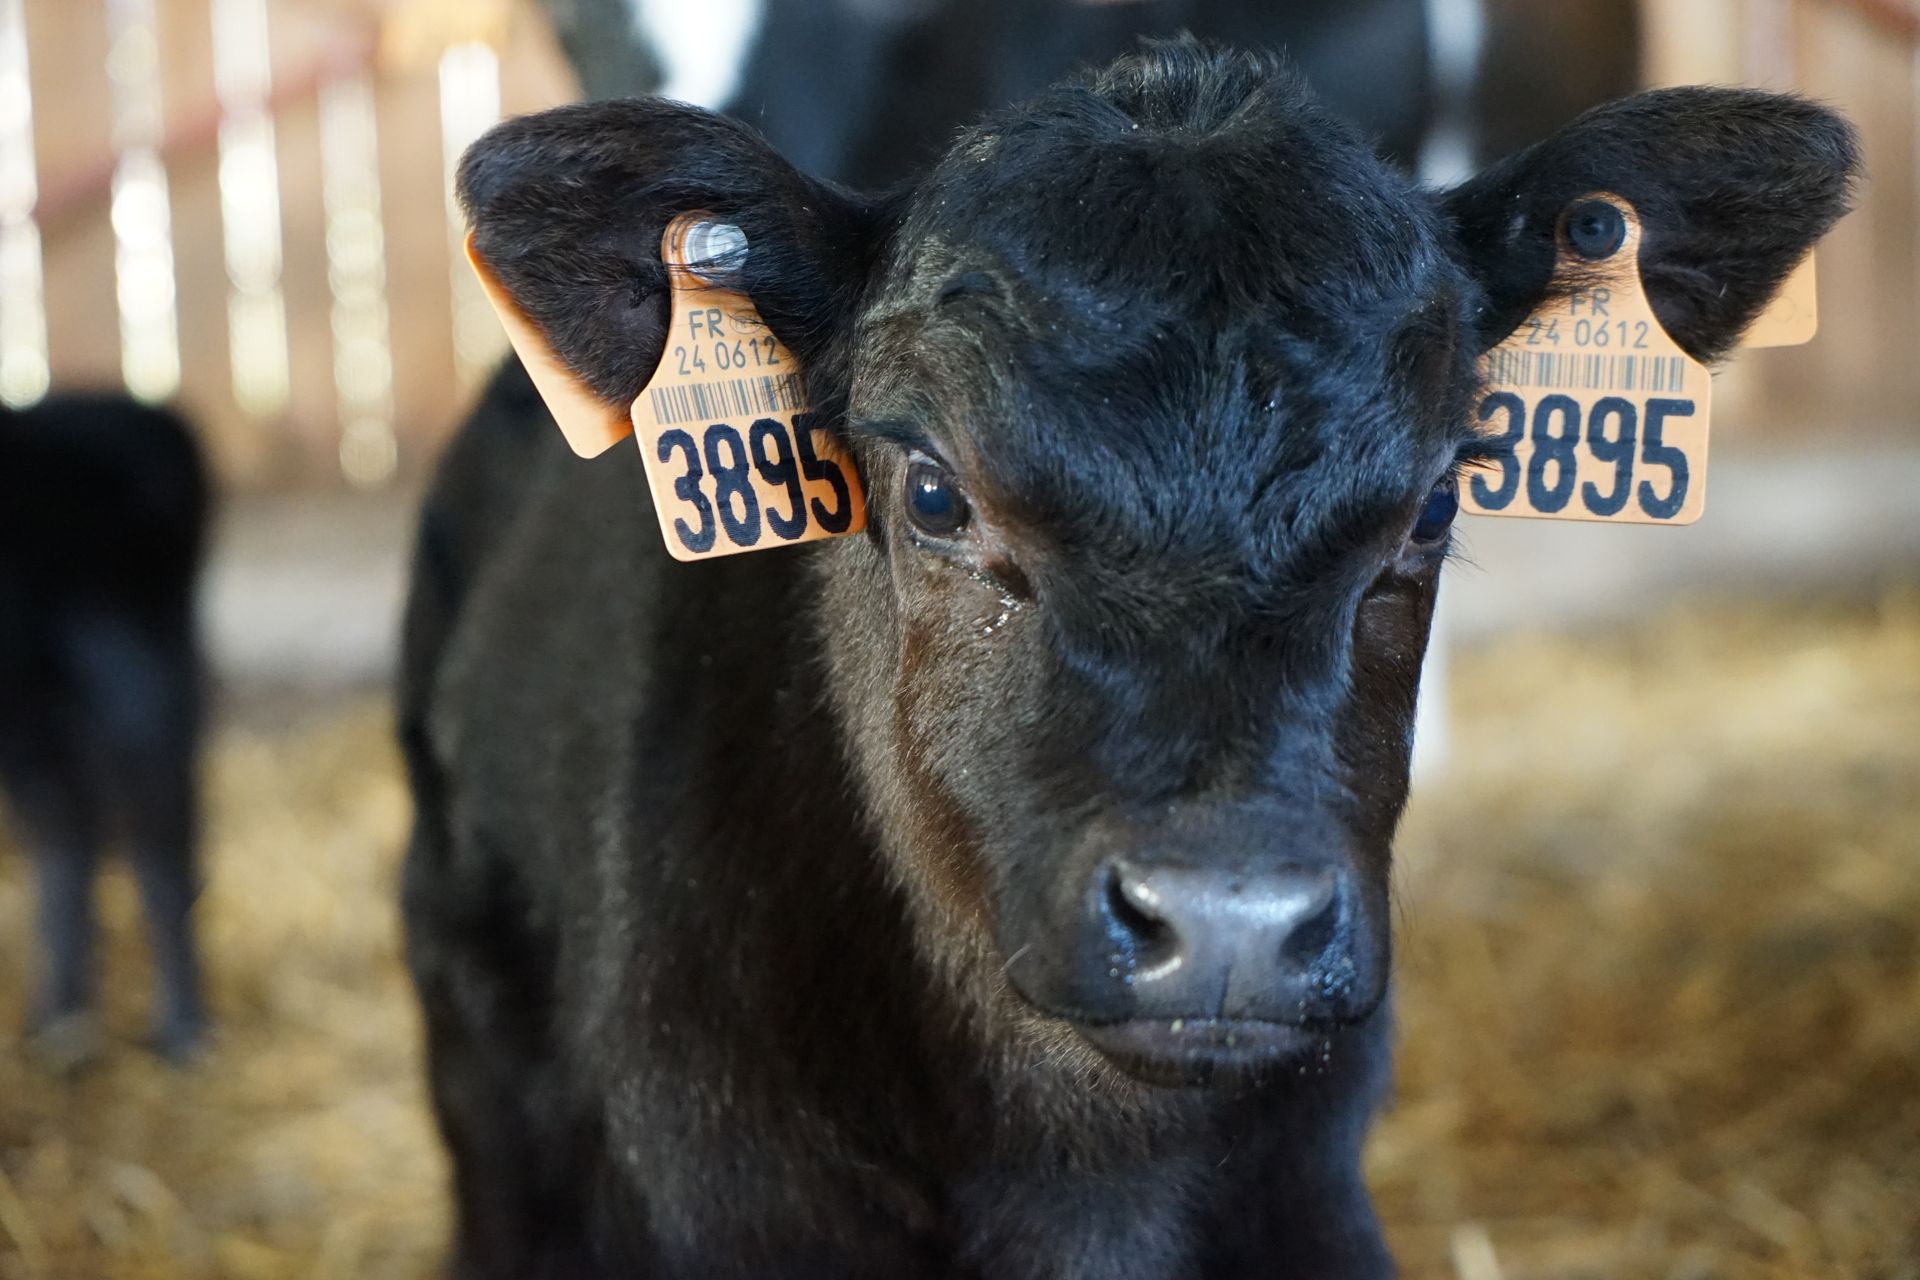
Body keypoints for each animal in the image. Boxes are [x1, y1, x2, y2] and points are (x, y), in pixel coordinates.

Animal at [0, 393, 210, 1067]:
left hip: (137, 685)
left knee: (157, 848)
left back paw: (183, 1030)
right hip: (44, 719)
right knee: (72, 836)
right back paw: (62, 1022)